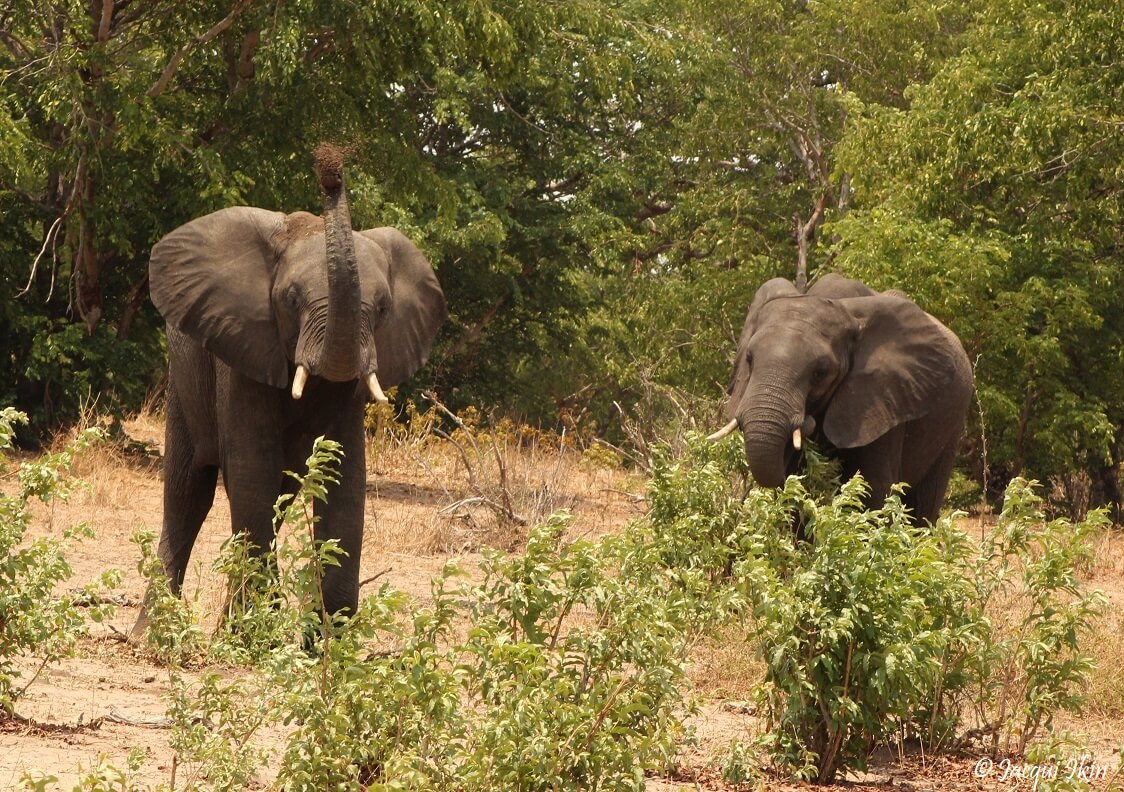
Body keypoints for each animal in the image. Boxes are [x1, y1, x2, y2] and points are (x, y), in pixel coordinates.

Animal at [133, 144, 445, 633]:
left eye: (382, 308)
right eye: (292, 299)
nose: (332, 170)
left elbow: (344, 478)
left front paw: (325, 640)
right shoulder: (240, 351)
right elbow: (251, 470)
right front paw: (252, 635)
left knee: (273, 498)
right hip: (183, 378)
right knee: (188, 493)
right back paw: (150, 635)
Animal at [714, 272, 971, 525]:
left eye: (820, 372)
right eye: (749, 359)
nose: (807, 421)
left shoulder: (881, 400)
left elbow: (873, 494)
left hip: (952, 422)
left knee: (923, 505)